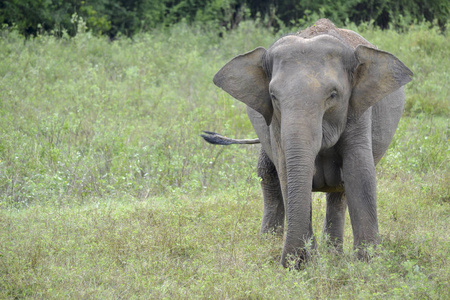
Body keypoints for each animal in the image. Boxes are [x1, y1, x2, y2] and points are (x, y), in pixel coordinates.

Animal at [202, 18, 414, 268]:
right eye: (273, 96)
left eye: (333, 95)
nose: (291, 262)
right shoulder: (275, 124)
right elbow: (287, 173)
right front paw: (306, 263)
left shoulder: (358, 111)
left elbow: (359, 171)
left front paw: (368, 265)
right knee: (269, 174)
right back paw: (273, 244)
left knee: (339, 191)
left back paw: (334, 255)